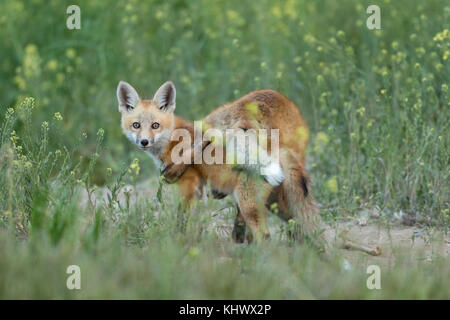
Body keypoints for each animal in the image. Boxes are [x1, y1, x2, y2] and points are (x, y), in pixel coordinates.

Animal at [117, 80, 324, 248]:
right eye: (136, 125)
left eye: (155, 125)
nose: (144, 142)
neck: (173, 139)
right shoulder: (199, 188)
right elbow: (197, 221)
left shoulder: (189, 185)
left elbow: (181, 219)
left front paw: (178, 242)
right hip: (279, 204)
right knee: (303, 228)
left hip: (250, 203)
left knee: (264, 235)